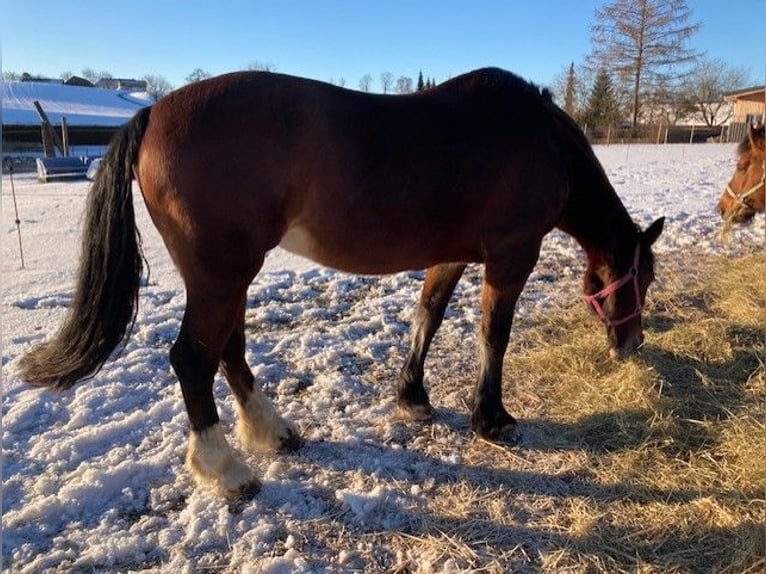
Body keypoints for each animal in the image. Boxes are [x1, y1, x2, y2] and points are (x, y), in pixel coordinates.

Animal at [16, 68, 664, 500]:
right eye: (644, 276)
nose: (632, 343)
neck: (539, 138)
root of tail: (154, 113)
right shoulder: (511, 256)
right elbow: (493, 336)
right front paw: (493, 419)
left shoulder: (449, 257)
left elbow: (428, 316)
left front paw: (413, 398)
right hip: (220, 274)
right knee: (193, 359)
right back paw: (227, 470)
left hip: (229, 277)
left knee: (228, 349)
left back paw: (271, 432)